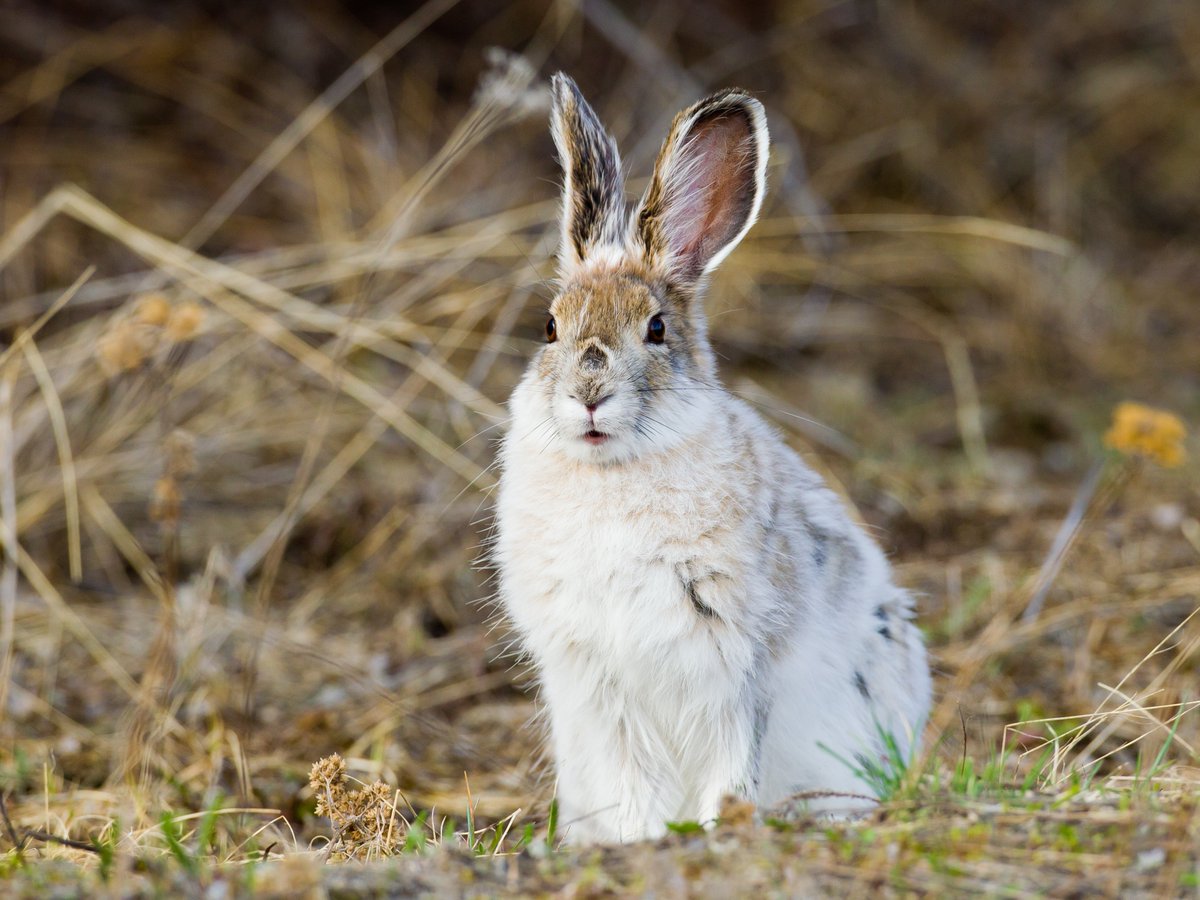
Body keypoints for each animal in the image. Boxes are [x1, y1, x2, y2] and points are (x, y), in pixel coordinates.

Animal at [493, 73, 931, 845]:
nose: (588, 397)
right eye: (548, 327)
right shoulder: (602, 683)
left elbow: (732, 760)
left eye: (656, 329)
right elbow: (632, 780)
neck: (614, 474)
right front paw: (639, 840)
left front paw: (717, 826)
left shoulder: (735, 667)